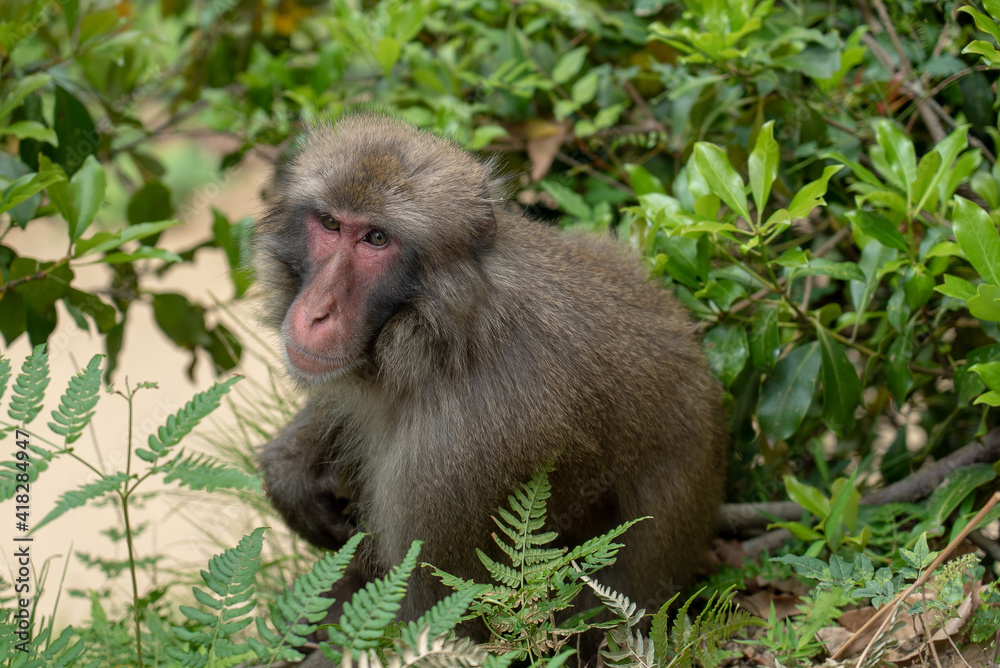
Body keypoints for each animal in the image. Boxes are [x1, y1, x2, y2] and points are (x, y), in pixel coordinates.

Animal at [254, 114, 727, 661]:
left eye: (375, 238)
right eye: (330, 225)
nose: (316, 312)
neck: (449, 334)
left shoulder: (456, 460)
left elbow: (439, 630)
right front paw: (289, 471)